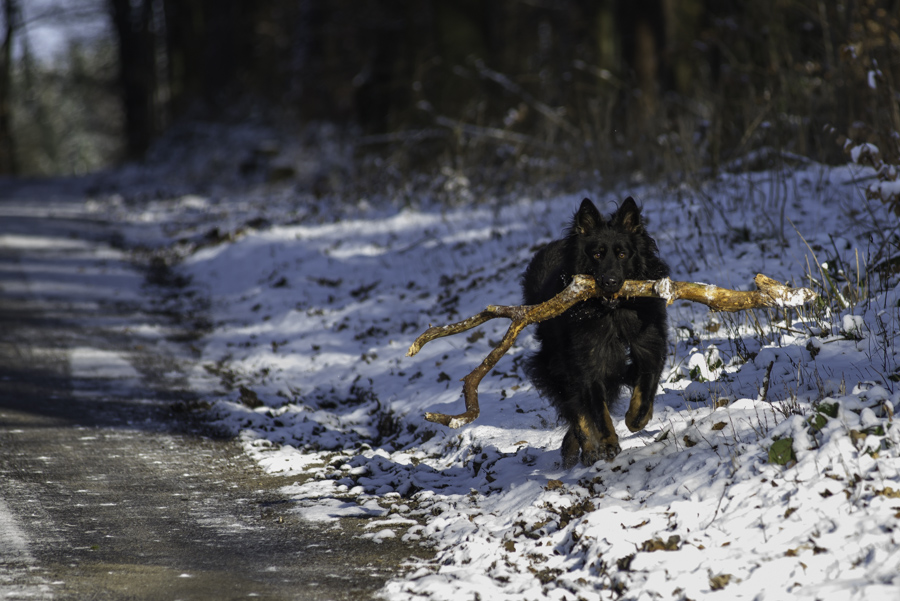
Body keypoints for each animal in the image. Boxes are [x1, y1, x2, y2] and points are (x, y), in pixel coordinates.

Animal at [520, 198, 668, 468]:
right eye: (597, 254)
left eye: (622, 254)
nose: (610, 282)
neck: (612, 312)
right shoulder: (588, 363)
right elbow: (598, 412)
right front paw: (608, 443)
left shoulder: (650, 344)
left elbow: (646, 386)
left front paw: (636, 419)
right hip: (559, 367)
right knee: (577, 410)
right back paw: (587, 449)